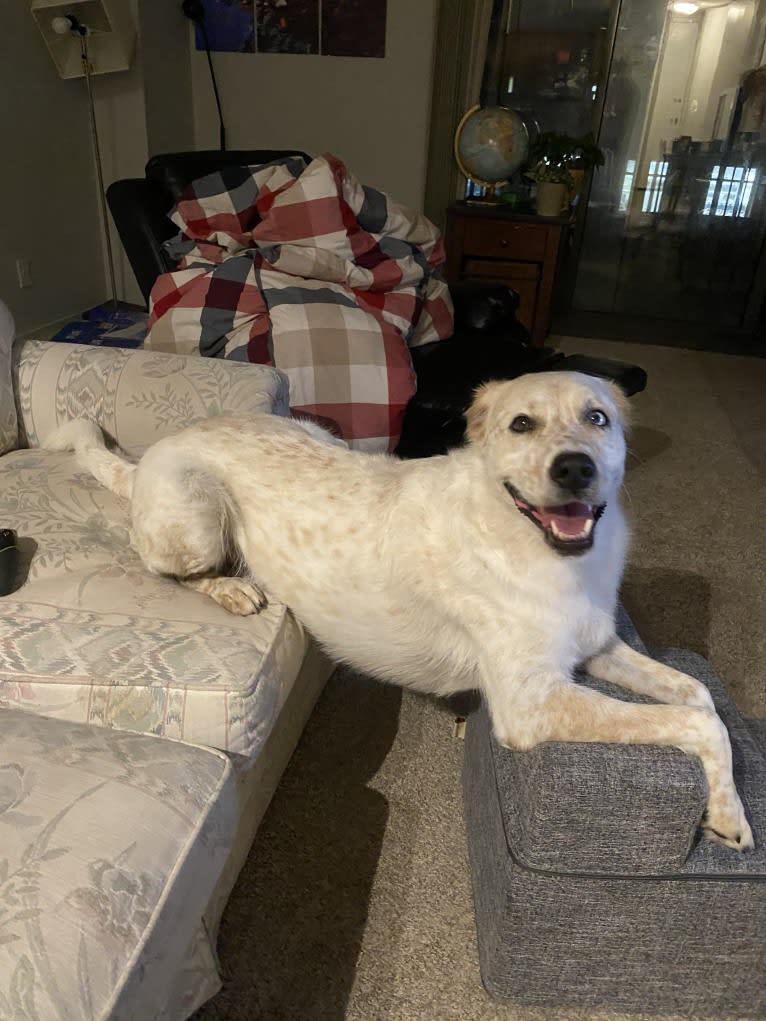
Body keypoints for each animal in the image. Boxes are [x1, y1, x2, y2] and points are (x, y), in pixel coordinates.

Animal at [49, 371, 755, 849]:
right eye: (521, 425)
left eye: (599, 418)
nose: (575, 468)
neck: (550, 553)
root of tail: (153, 452)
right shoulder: (529, 704)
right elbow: (694, 722)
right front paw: (730, 817)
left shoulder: (597, 647)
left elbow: (698, 696)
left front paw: (728, 809)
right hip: (194, 518)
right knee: (164, 565)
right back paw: (232, 587)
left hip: (316, 432)